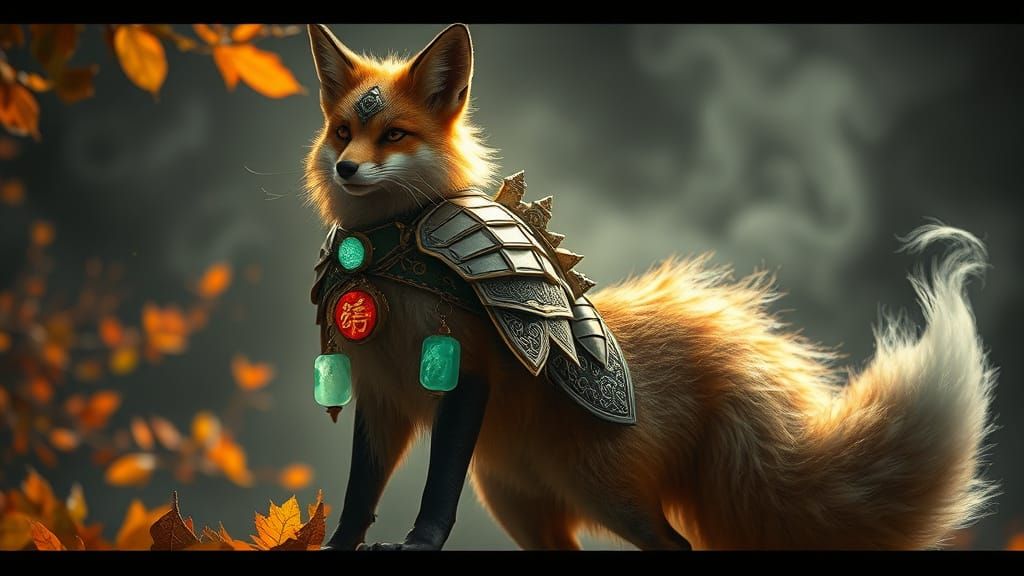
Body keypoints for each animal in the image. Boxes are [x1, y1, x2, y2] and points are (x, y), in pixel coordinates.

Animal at [303, 23, 997, 550]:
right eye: (342, 132)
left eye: (394, 135)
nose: (347, 168)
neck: (390, 256)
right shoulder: (381, 395)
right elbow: (359, 492)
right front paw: (337, 545)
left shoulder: (465, 372)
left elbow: (435, 489)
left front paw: (417, 543)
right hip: (518, 503)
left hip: (609, 497)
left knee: (679, 545)